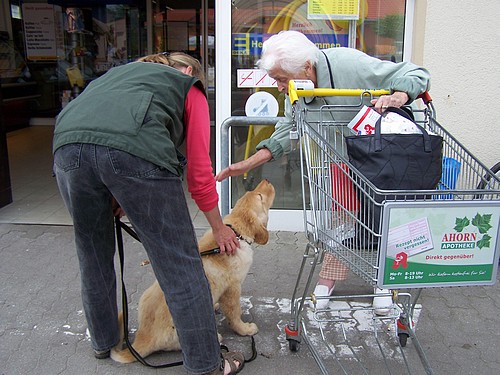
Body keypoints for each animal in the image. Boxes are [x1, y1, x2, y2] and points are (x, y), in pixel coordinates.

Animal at [111, 179, 276, 364]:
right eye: (260, 197)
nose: (266, 180)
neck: (236, 233)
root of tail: (143, 337)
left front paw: (216, 305)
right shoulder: (232, 289)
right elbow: (234, 314)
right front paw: (245, 329)